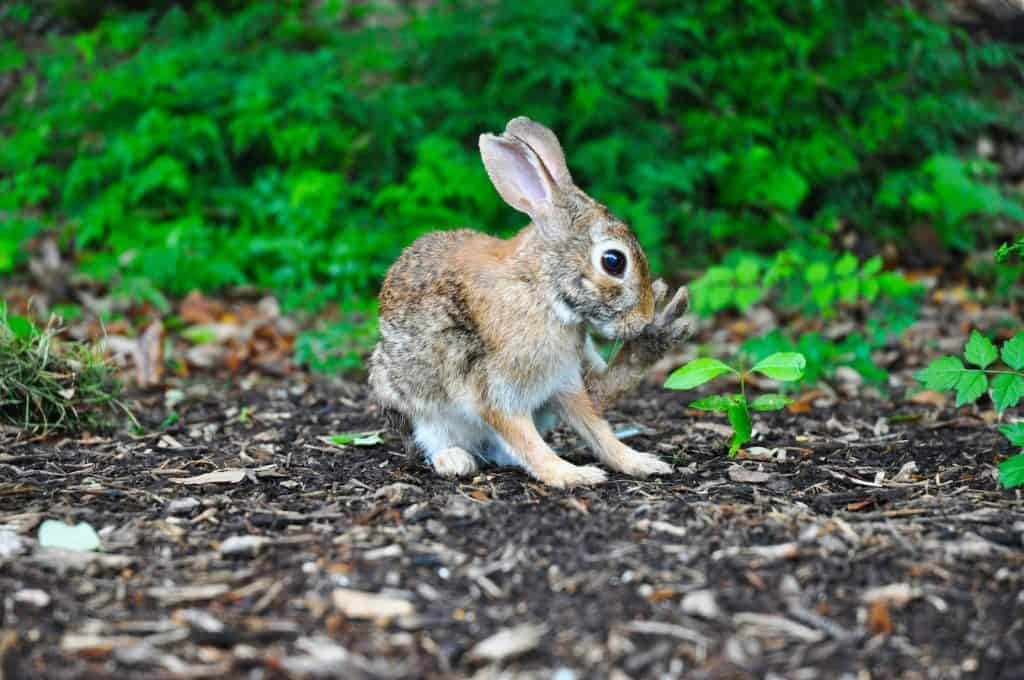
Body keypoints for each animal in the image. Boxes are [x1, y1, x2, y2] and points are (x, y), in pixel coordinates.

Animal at [368, 116, 690, 488]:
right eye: (613, 261)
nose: (642, 318)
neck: (542, 290)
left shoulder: (564, 381)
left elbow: (597, 429)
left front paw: (639, 462)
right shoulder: (495, 390)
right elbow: (527, 441)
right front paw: (571, 474)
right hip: (413, 403)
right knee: (435, 440)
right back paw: (455, 460)